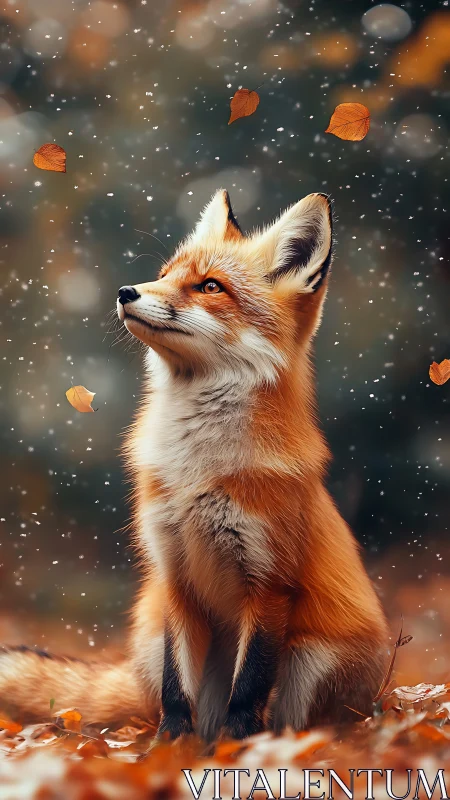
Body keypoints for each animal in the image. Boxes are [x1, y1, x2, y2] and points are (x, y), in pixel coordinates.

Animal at [0, 190, 389, 741]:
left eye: (210, 286)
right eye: (164, 274)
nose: (126, 291)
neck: (195, 473)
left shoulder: (269, 583)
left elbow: (249, 688)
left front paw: (240, 748)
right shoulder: (174, 576)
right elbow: (175, 690)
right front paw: (172, 749)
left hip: (315, 657)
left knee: (293, 719)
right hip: (148, 630)